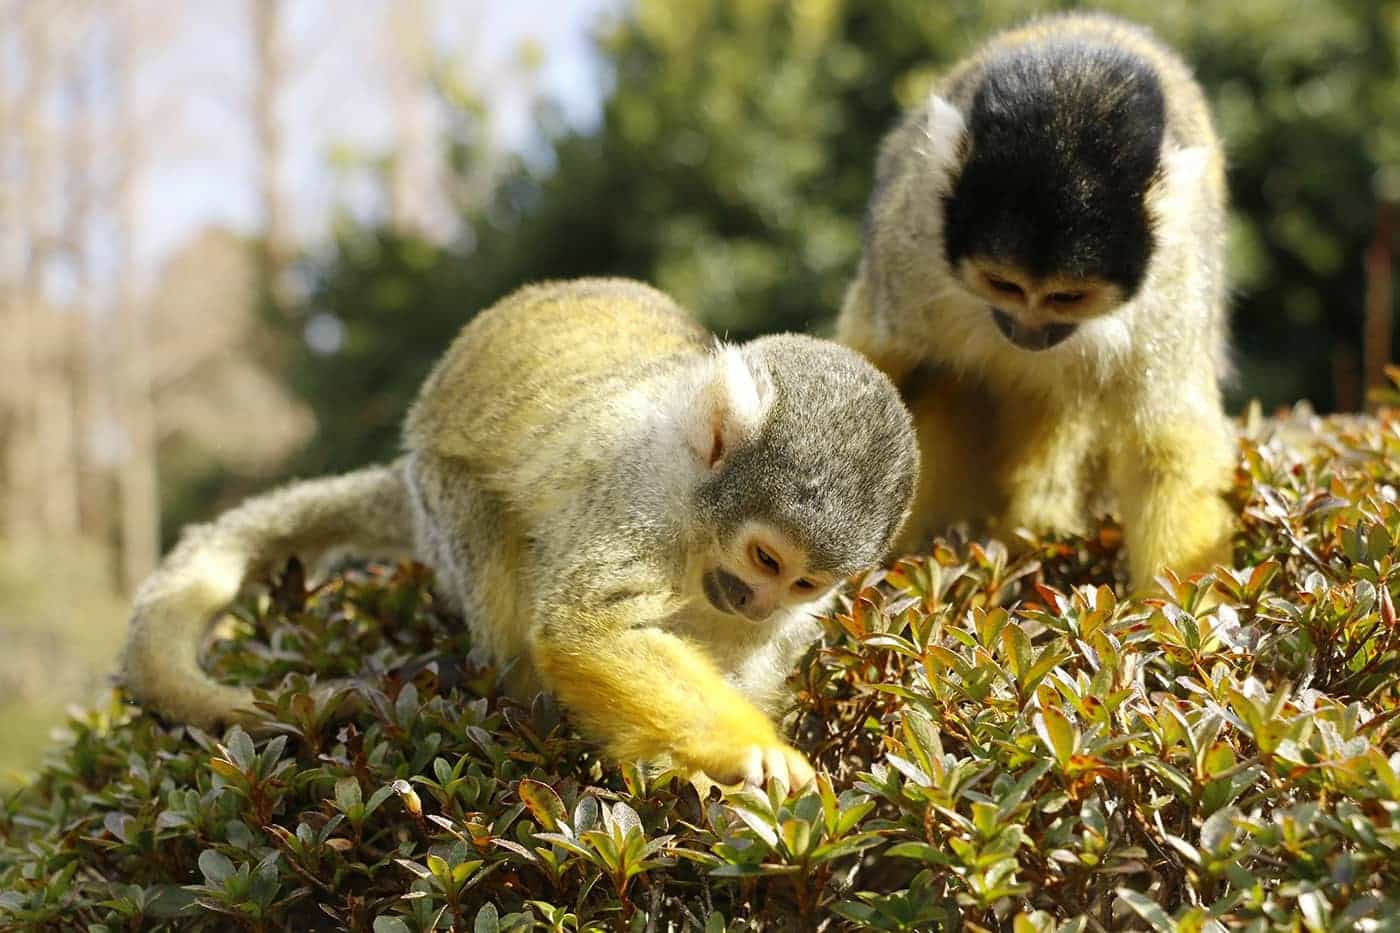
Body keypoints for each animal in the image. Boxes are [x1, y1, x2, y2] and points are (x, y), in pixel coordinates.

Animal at [123, 275, 918, 784]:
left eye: (803, 582)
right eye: (763, 557)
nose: (758, 601)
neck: (699, 505)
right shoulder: (645, 498)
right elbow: (586, 626)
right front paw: (746, 754)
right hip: (442, 492)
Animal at [834, 10, 1232, 585]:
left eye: (1067, 297)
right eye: (1005, 285)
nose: (1027, 333)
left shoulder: (1173, 282)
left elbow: (1163, 450)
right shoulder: (908, 242)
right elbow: (880, 362)